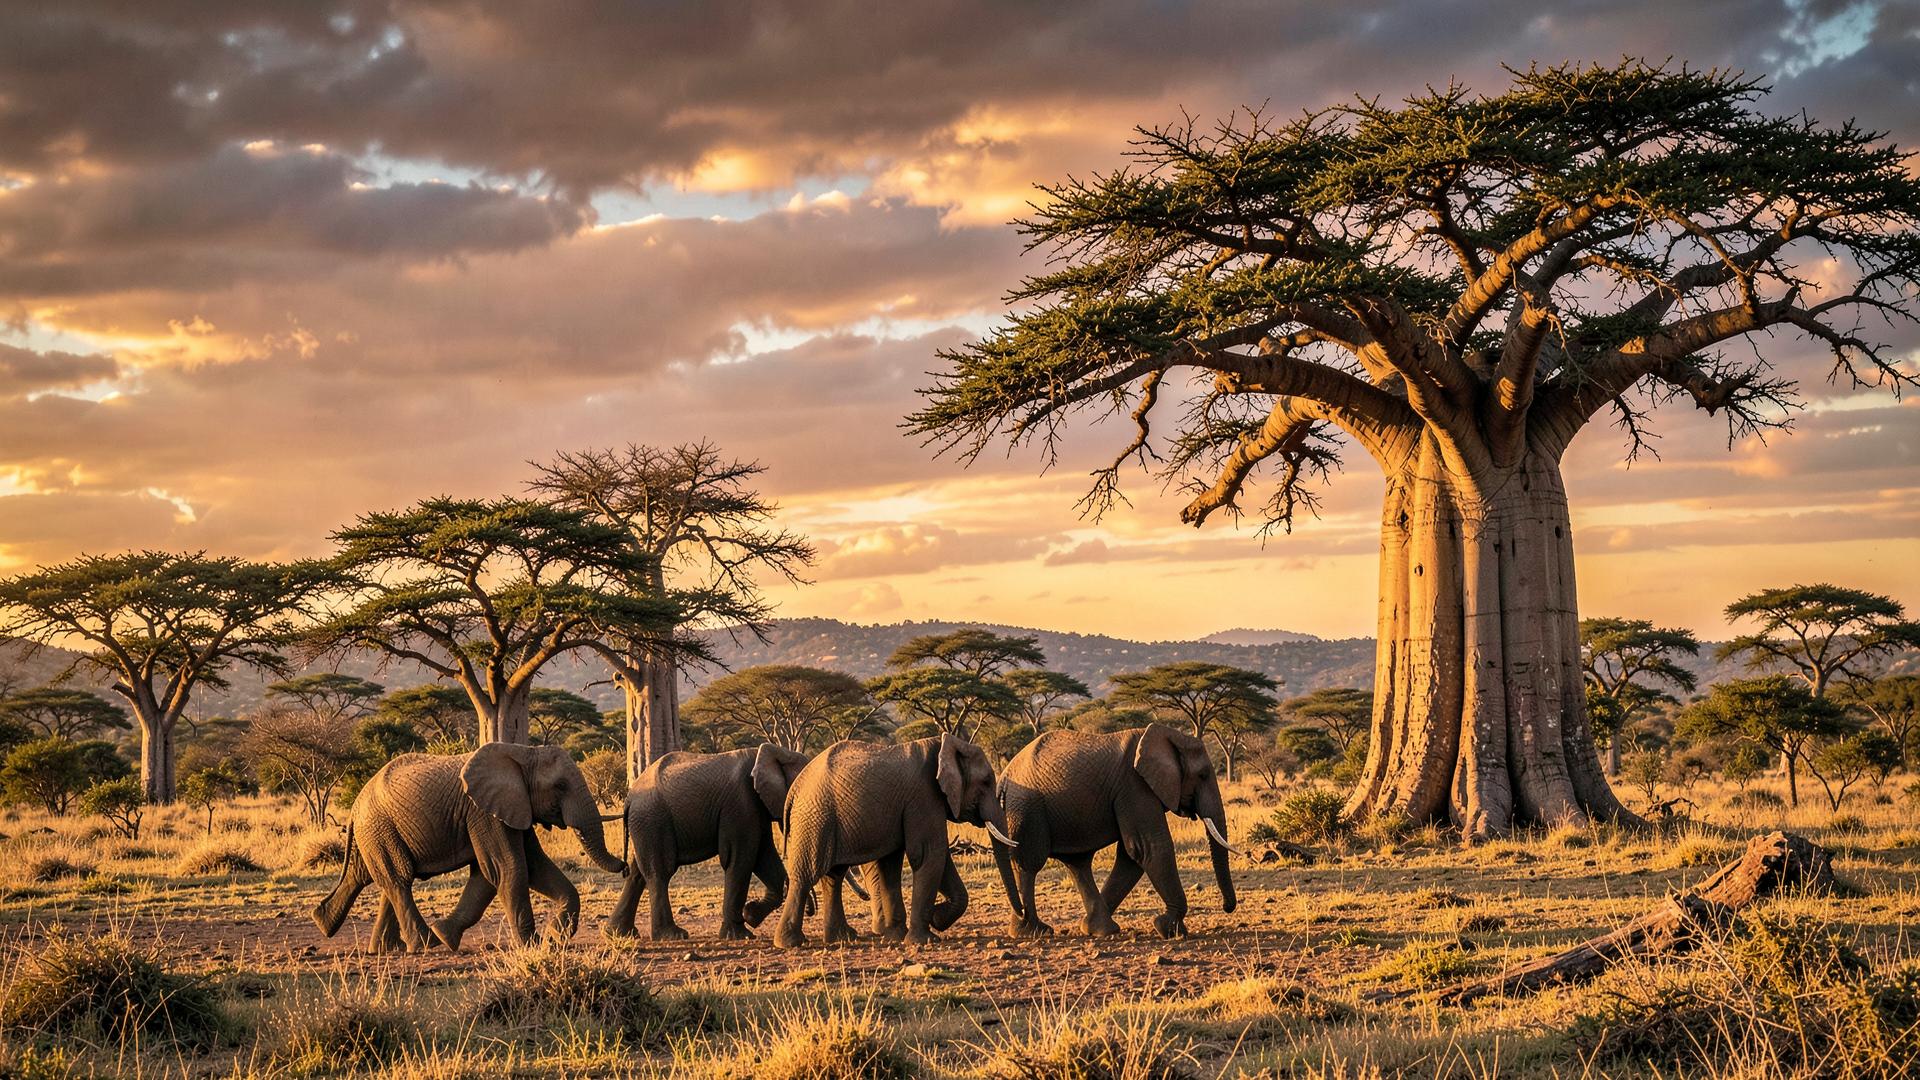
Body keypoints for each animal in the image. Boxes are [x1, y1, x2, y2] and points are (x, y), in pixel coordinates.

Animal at [312, 744, 624, 952]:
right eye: (559, 786)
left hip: (376, 832)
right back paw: (424, 944)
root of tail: (355, 807)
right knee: (398, 879)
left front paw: (555, 938)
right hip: (379, 826)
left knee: (368, 877)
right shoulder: (484, 812)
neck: (524, 754)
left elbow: (529, 868)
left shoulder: (512, 809)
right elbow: (508, 868)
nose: (625, 866)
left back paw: (362, 938)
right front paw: (533, 945)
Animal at [604, 743, 811, 941]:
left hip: (645, 824)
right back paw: (673, 936)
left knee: (637, 873)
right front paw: (740, 935)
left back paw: (619, 933)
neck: (778, 751)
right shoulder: (741, 804)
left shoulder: (757, 808)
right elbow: (741, 859)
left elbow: (764, 857)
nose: (810, 910)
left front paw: (751, 914)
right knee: (660, 872)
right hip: (652, 819)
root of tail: (629, 798)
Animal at [774, 733, 1017, 948]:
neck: (944, 744)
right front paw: (925, 939)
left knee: (833, 876)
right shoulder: (924, 796)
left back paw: (842, 938)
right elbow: (929, 854)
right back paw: (790, 943)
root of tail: (794, 789)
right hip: (815, 818)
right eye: (986, 782)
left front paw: (909, 931)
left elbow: (893, 864)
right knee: (806, 875)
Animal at [992, 724, 1238, 938]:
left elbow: (1132, 856)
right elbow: (1148, 847)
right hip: (1026, 807)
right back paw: (1033, 932)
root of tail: (1003, 778)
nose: (1227, 907)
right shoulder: (1135, 785)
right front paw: (1169, 929)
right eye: (1203, 775)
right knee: (1029, 863)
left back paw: (1099, 929)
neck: (1168, 735)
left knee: (1078, 864)